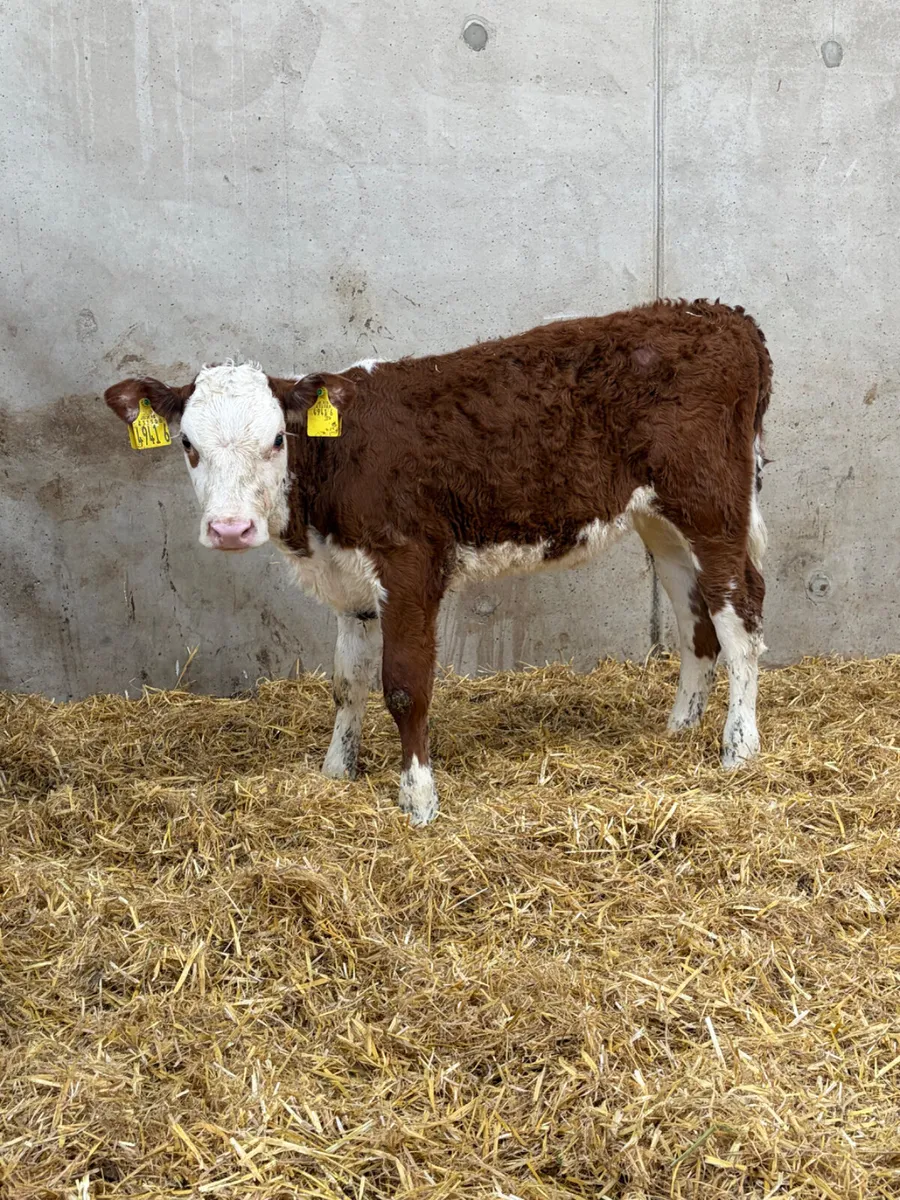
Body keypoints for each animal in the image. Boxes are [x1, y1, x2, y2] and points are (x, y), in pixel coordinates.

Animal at [104, 299, 772, 825]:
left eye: (275, 440)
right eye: (187, 445)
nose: (229, 529)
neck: (338, 463)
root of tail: (721, 315)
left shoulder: (410, 564)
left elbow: (404, 685)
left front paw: (418, 799)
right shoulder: (348, 580)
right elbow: (345, 683)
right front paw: (336, 771)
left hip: (711, 502)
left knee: (741, 615)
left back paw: (738, 748)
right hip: (660, 520)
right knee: (696, 619)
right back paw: (680, 726)